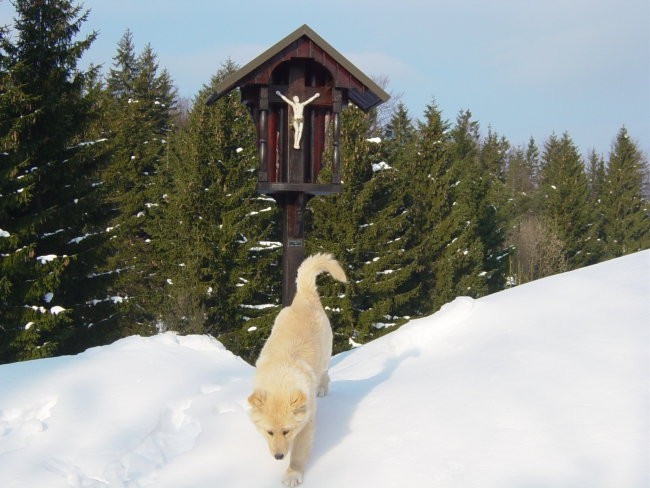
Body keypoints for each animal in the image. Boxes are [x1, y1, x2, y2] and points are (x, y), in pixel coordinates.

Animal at [248, 254, 346, 486]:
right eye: (269, 432)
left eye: (287, 431)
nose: (278, 456)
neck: (280, 374)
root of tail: (304, 296)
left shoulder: (306, 423)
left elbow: (300, 452)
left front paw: (293, 473)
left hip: (325, 353)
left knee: (325, 373)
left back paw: (322, 389)